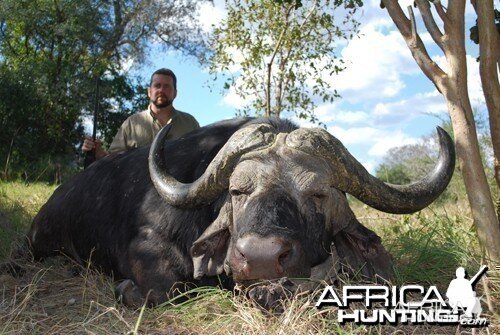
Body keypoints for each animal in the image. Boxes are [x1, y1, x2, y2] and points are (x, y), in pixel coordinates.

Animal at [25, 118, 456, 308]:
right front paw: (127, 290)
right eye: (237, 191)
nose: (262, 257)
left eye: (317, 194)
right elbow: (168, 289)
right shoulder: (146, 245)